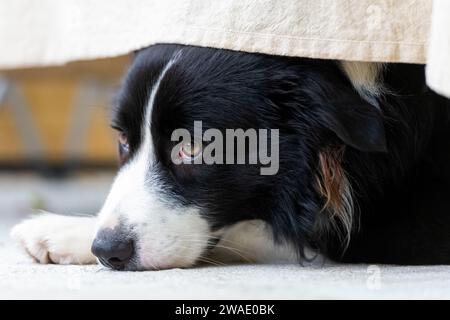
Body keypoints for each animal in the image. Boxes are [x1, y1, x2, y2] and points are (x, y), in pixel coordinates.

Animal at [9, 44, 450, 270]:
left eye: (193, 147)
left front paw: (60, 230)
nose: (107, 248)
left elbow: (274, 231)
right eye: (122, 140)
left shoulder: (409, 231)